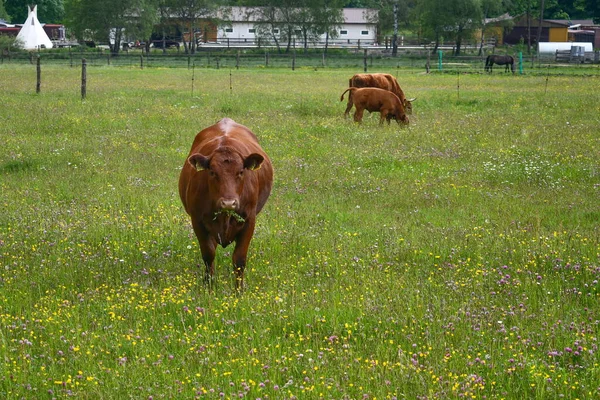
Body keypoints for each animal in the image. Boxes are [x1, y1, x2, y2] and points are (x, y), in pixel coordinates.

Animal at [177, 117, 274, 290]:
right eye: (212, 172)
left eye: (241, 172)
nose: (229, 203)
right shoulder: (198, 222)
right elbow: (208, 255)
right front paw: (209, 287)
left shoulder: (249, 221)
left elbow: (239, 260)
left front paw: (238, 291)